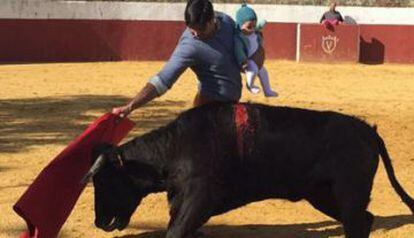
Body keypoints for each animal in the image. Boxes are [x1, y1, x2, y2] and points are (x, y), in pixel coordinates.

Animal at [81, 102, 414, 238]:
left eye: (105, 181)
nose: (98, 223)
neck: (176, 147)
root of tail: (367, 130)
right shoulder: (182, 202)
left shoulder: (199, 199)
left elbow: (175, 232)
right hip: (324, 196)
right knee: (364, 220)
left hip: (348, 193)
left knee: (357, 223)